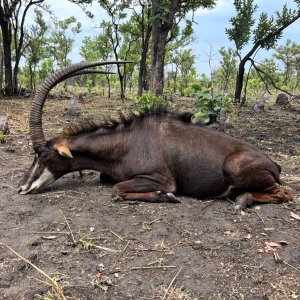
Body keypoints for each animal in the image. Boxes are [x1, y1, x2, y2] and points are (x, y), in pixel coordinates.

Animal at [17, 61, 292, 211]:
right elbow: (108, 180)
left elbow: (117, 188)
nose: (21, 187)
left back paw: (242, 200)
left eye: (42, 154)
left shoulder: (159, 178)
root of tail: (273, 163)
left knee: (284, 194)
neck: (124, 143)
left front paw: (165, 196)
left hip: (235, 168)